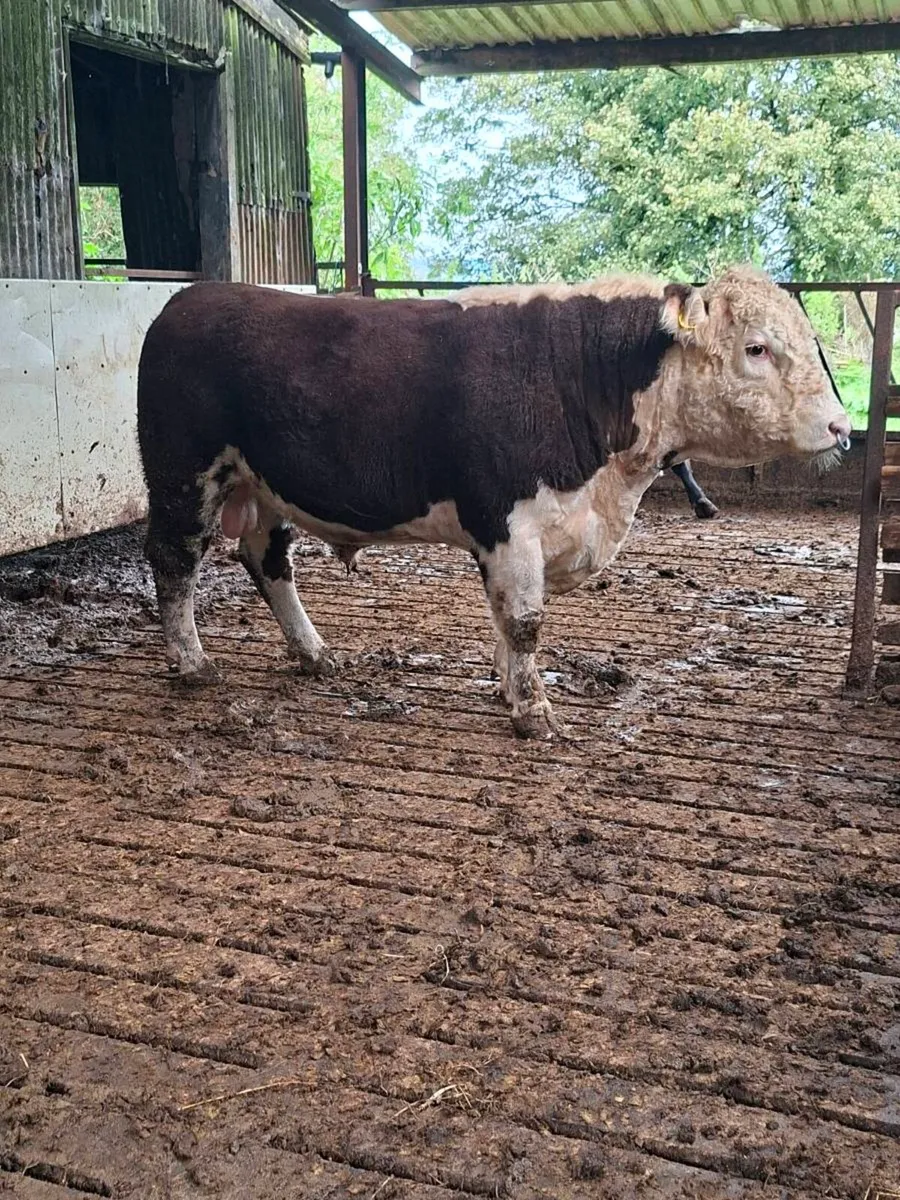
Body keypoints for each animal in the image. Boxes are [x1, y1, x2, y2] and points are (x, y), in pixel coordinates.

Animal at [137, 266, 850, 739]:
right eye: (756, 347)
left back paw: (314, 654)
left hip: (263, 485)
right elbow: (524, 620)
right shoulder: (508, 523)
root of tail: (192, 296)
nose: (842, 426)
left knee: (267, 559)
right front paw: (534, 710)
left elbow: (507, 620)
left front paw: (510, 690)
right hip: (185, 476)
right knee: (175, 560)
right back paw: (192, 662)